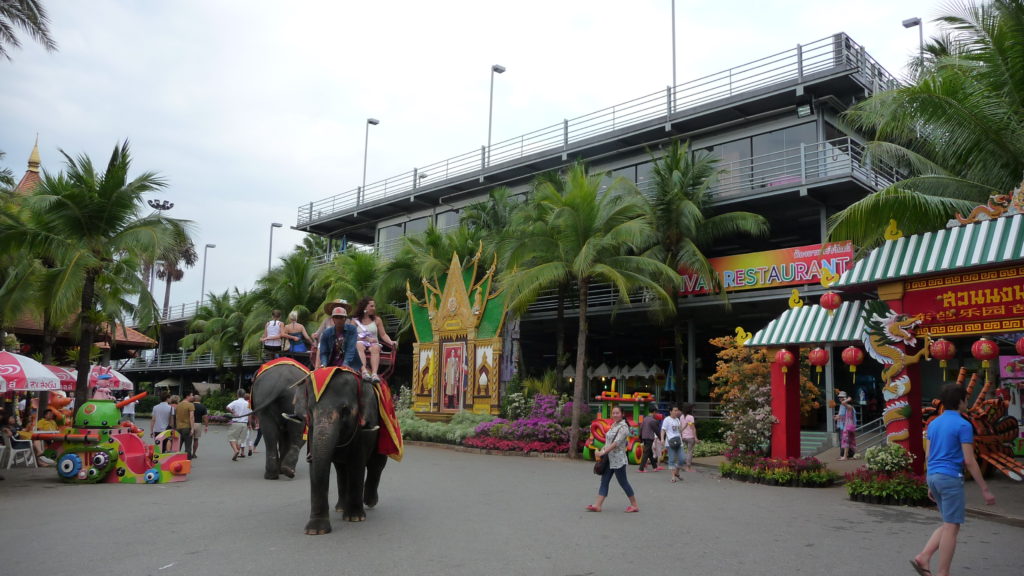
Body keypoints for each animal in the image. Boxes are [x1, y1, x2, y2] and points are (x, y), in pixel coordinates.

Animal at [303, 366, 387, 532]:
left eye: (345, 411)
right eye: (310, 410)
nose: (308, 457)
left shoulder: (363, 428)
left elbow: (357, 464)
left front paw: (355, 518)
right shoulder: (311, 430)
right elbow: (317, 467)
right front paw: (315, 530)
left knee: (377, 464)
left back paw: (369, 501)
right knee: (341, 470)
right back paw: (341, 507)